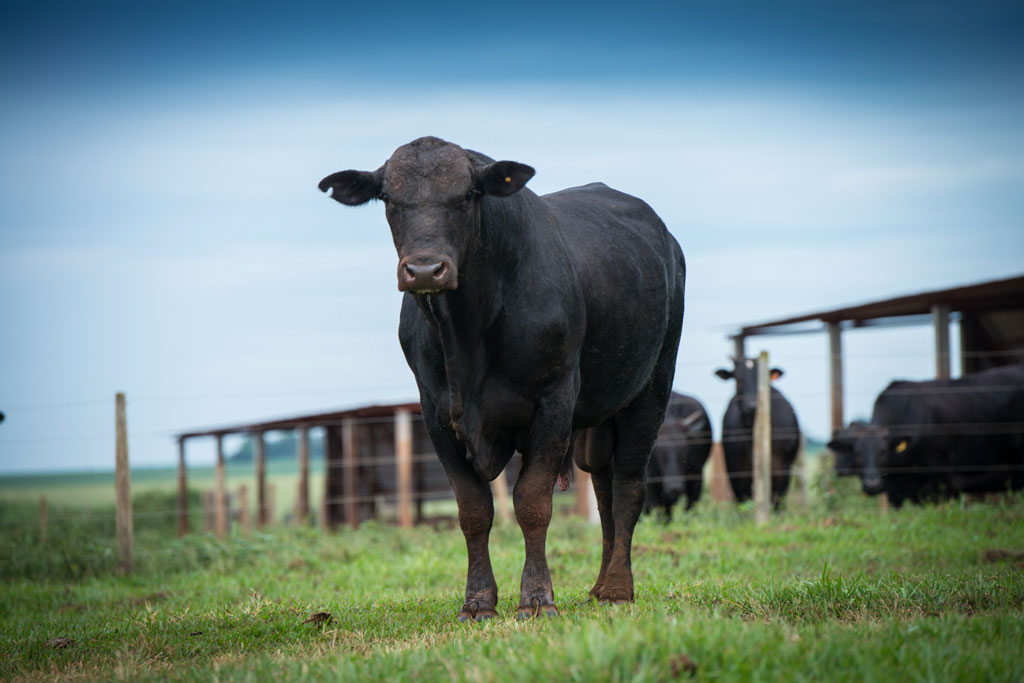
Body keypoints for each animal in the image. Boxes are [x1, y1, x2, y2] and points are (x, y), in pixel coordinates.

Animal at [319, 137, 685, 621]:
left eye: (466, 197)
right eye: (391, 201)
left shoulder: (553, 402)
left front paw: (537, 598)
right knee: (604, 486)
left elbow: (532, 502)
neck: (467, 334)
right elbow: (473, 509)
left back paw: (617, 589)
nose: (424, 270)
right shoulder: (435, 412)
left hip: (653, 386)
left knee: (628, 484)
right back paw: (598, 584)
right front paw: (478, 602)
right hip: (600, 412)